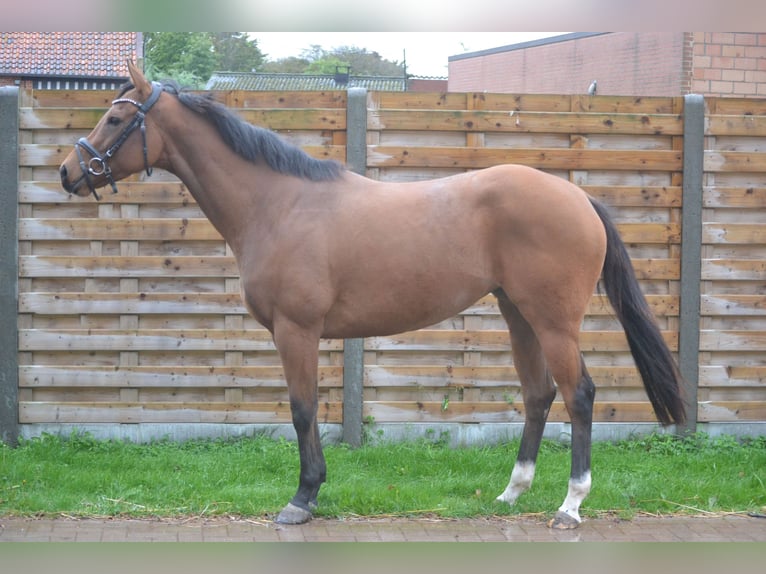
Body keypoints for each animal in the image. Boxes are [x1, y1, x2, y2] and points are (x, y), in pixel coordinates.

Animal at [57, 62, 688, 532]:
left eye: (116, 116)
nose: (68, 171)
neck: (278, 203)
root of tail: (580, 198)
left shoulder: (296, 330)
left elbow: (303, 410)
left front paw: (303, 498)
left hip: (553, 321)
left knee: (578, 394)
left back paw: (570, 505)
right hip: (518, 315)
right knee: (538, 395)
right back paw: (512, 492)